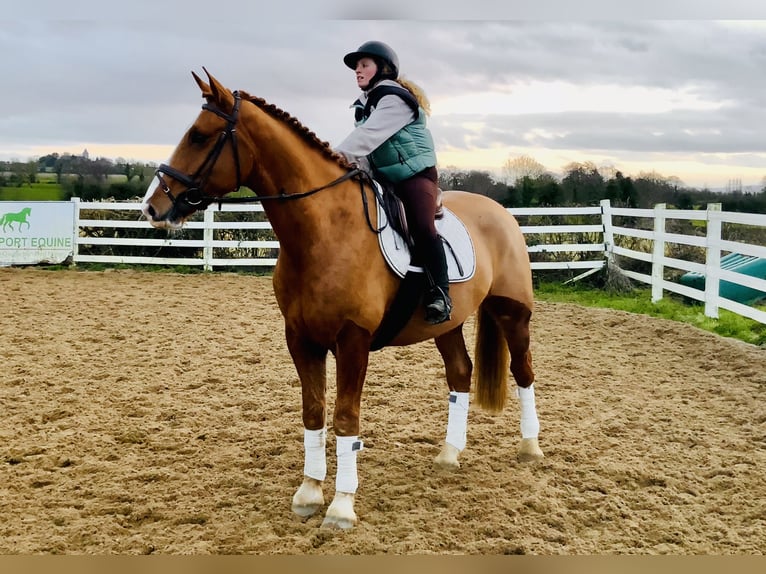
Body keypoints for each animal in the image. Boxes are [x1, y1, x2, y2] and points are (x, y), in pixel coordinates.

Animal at [141, 69, 544, 529]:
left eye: (199, 136)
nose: (151, 207)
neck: (322, 232)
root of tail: (502, 212)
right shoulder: (301, 340)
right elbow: (314, 413)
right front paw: (309, 492)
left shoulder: (353, 340)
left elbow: (346, 418)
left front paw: (341, 506)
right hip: (448, 322)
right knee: (460, 374)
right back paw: (448, 454)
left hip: (512, 313)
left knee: (523, 371)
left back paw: (530, 447)